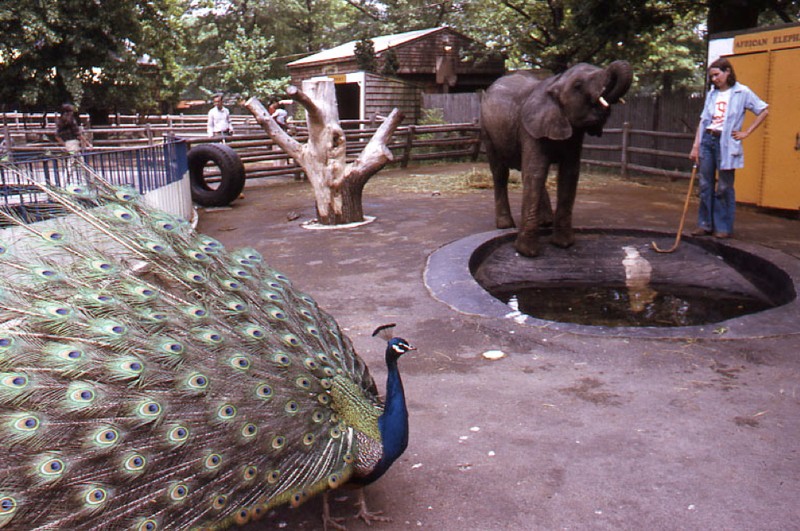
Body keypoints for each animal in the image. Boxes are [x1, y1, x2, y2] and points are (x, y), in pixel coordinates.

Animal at [478, 61, 636, 256]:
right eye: (578, 86)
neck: (555, 83)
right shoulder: (529, 127)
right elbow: (535, 172)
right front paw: (527, 252)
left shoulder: (573, 135)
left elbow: (569, 174)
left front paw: (563, 244)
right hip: (486, 129)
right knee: (500, 172)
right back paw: (505, 225)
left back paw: (546, 222)